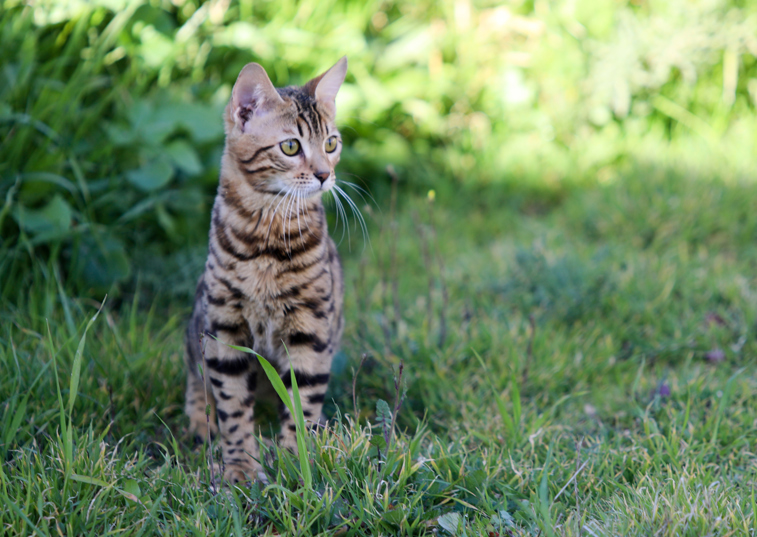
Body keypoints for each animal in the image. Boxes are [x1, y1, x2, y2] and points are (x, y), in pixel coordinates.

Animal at [185, 56, 346, 484]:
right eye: (290, 146)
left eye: (331, 143)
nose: (325, 175)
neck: (267, 244)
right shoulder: (224, 330)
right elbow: (233, 407)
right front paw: (240, 466)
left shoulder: (311, 332)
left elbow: (302, 402)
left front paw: (294, 461)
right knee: (194, 378)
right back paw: (200, 422)